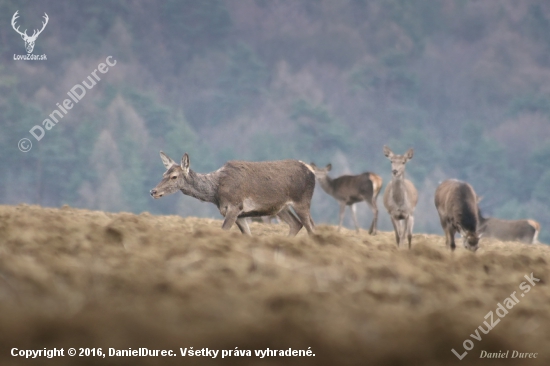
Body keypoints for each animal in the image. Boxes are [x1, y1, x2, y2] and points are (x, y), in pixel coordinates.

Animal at [149, 152, 316, 236]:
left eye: (174, 176)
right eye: (164, 174)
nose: (153, 191)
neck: (215, 192)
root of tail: (311, 171)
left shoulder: (235, 207)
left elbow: (223, 231)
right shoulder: (240, 215)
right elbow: (248, 236)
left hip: (302, 200)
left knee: (312, 229)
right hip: (281, 208)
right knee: (296, 224)